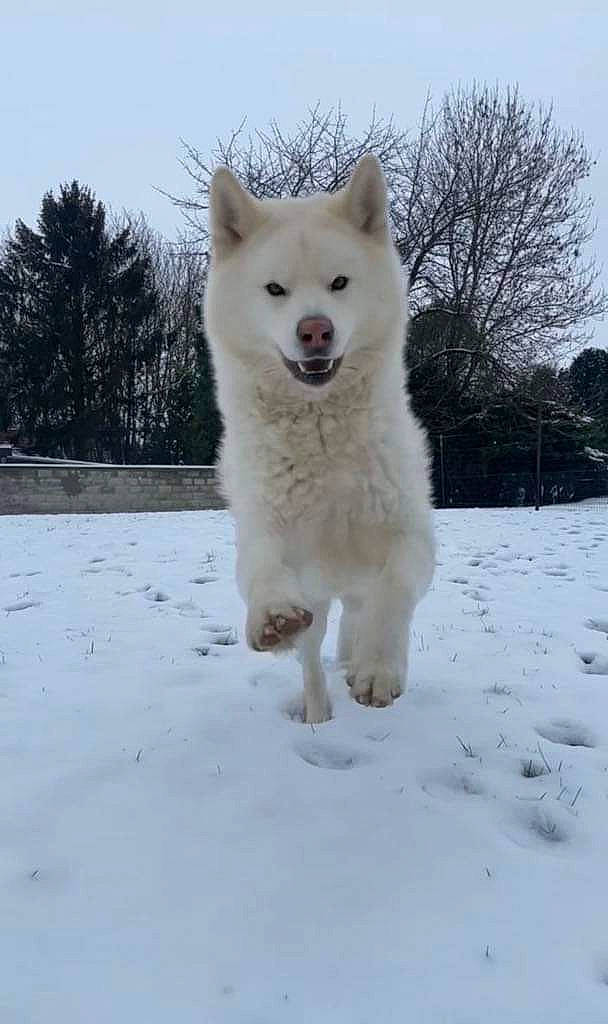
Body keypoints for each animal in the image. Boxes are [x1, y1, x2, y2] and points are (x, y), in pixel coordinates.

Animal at [204, 155, 435, 723]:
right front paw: (271, 616)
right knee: (312, 657)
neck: (322, 434)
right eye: (274, 289)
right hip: (318, 596)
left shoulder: (412, 536)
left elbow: (393, 590)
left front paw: (377, 669)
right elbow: (262, 568)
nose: (315, 331)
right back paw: (317, 714)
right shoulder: (268, 531)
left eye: (339, 282)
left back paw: (357, 662)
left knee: (359, 614)